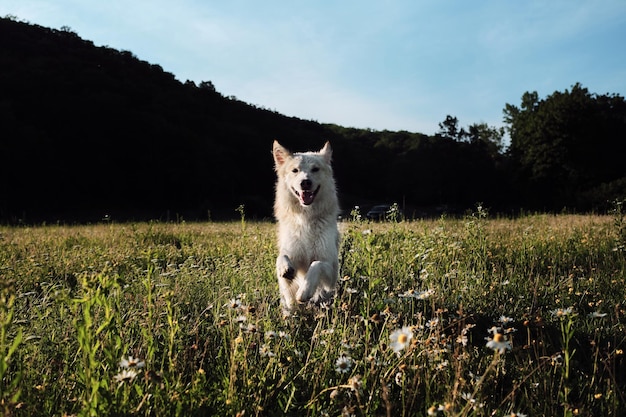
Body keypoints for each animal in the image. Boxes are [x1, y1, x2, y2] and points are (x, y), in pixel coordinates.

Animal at [270, 141, 336, 316]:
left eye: (315, 169)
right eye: (295, 170)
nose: (305, 182)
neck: (306, 217)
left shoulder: (332, 272)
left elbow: (316, 264)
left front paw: (304, 291)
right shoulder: (291, 252)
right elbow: (281, 256)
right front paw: (285, 267)